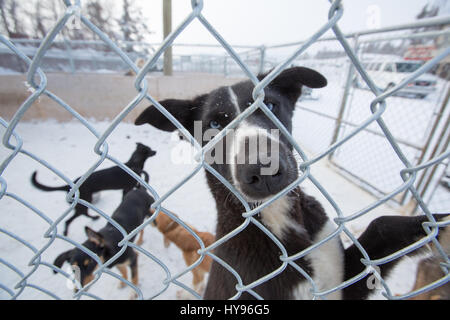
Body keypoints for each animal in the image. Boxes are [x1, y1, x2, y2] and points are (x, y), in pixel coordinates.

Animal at [134, 66, 446, 298]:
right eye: (213, 125)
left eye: (271, 105)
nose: (263, 168)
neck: (277, 223)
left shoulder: (344, 280)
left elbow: (381, 225)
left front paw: (436, 224)